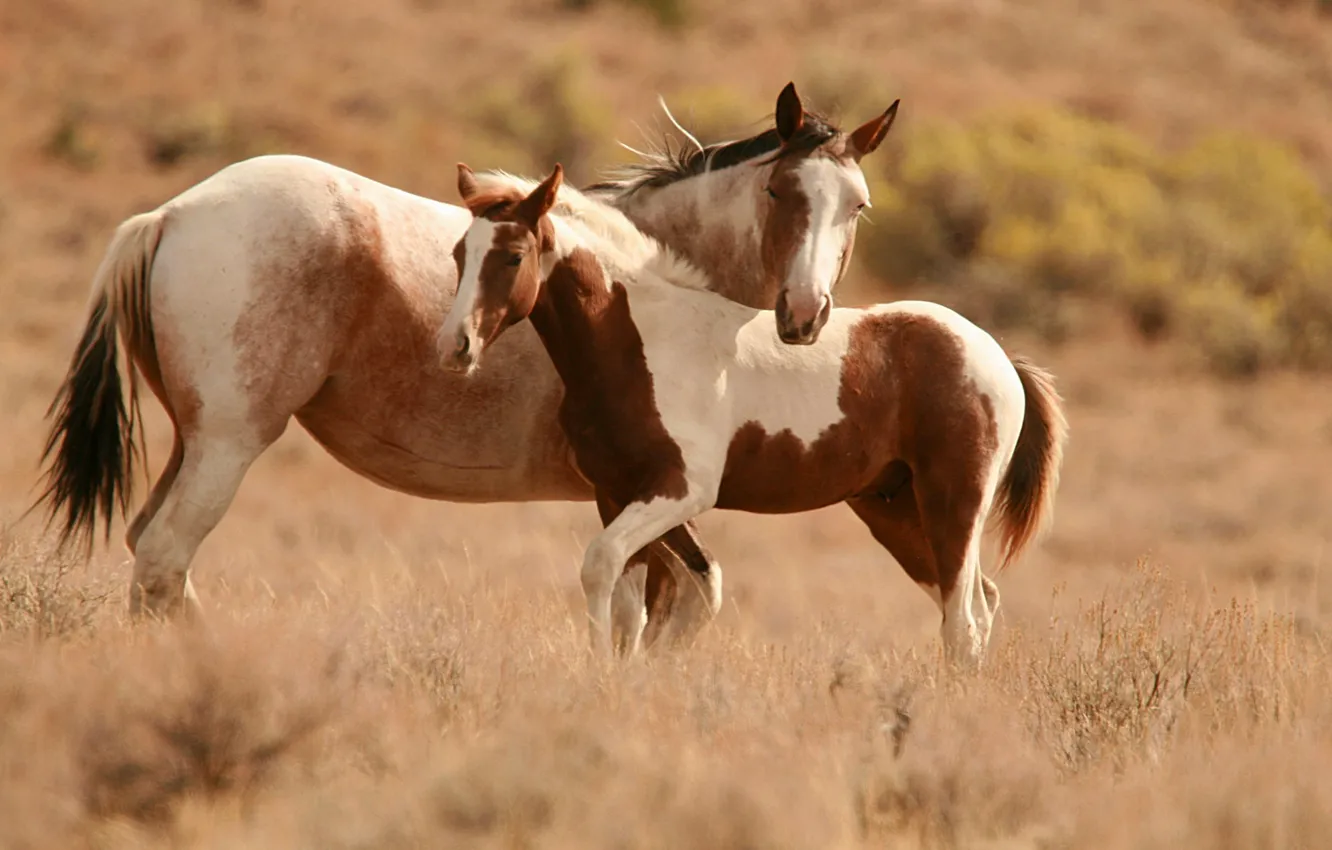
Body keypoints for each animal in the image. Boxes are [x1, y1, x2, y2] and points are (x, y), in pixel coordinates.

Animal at [33, 82, 902, 653]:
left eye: (856, 205)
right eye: (783, 190)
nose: (805, 314)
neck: (651, 285)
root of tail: (169, 214)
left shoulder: (637, 500)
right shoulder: (644, 494)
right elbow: (664, 606)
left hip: (194, 442)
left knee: (154, 560)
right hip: (226, 445)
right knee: (163, 560)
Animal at [439, 163, 1068, 669]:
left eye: (514, 256)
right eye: (458, 254)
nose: (455, 346)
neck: (639, 342)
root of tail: (995, 354)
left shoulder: (681, 491)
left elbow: (599, 565)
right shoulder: (616, 492)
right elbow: (627, 602)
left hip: (952, 502)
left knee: (963, 621)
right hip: (895, 510)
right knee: (978, 605)